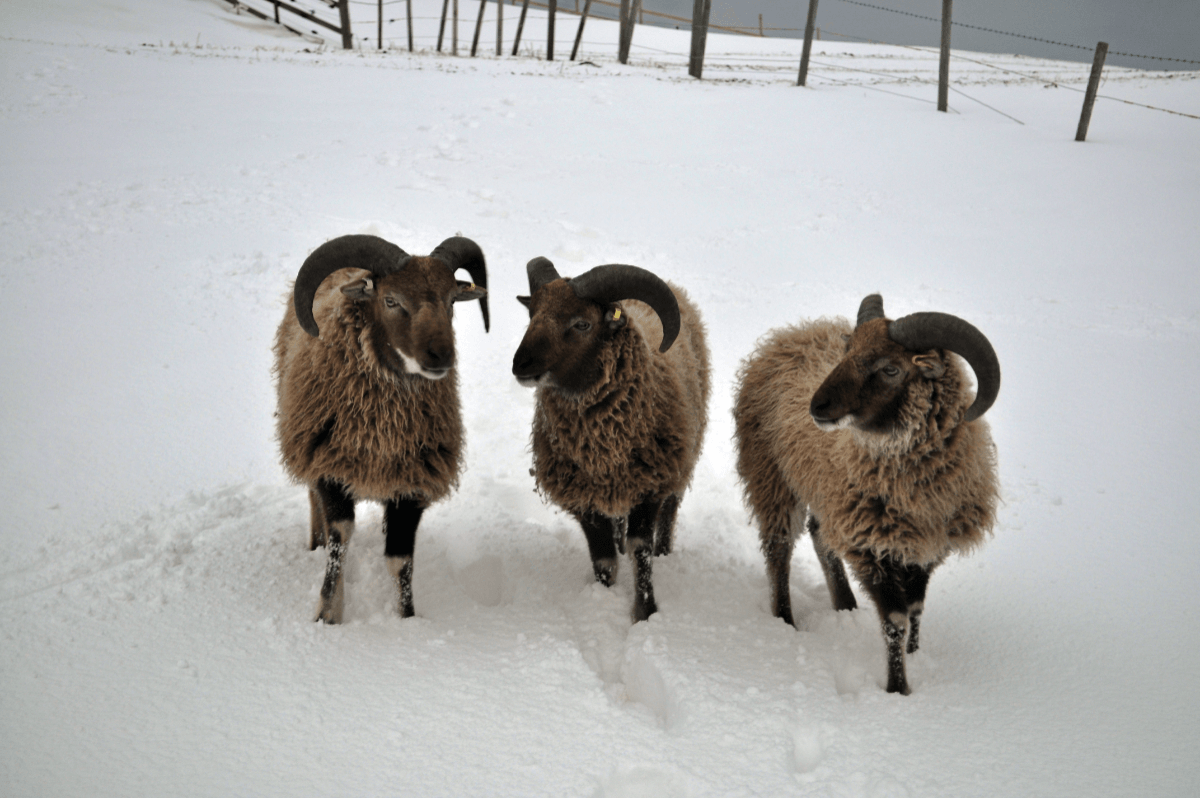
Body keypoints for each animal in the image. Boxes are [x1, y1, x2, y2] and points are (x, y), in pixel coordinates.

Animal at [273, 233, 488, 624]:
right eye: (391, 300)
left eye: (452, 300)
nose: (442, 356)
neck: (382, 429)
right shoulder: (330, 466)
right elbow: (340, 539)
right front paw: (327, 615)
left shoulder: (412, 482)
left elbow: (400, 561)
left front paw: (407, 620)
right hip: (304, 438)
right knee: (315, 506)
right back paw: (316, 543)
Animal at [511, 257, 711, 622]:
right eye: (532, 315)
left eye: (582, 324)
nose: (521, 364)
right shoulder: (583, 497)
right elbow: (603, 559)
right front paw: (603, 601)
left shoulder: (651, 486)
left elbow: (640, 549)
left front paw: (645, 612)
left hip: (683, 455)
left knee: (671, 509)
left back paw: (665, 552)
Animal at [733, 294, 1000, 694]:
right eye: (847, 352)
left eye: (891, 369)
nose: (817, 407)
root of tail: (792, 333)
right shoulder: (872, 547)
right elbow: (895, 619)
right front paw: (898, 688)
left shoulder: (926, 546)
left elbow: (915, 608)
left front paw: (915, 655)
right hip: (771, 475)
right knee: (778, 547)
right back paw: (785, 620)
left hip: (825, 492)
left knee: (819, 534)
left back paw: (845, 604)